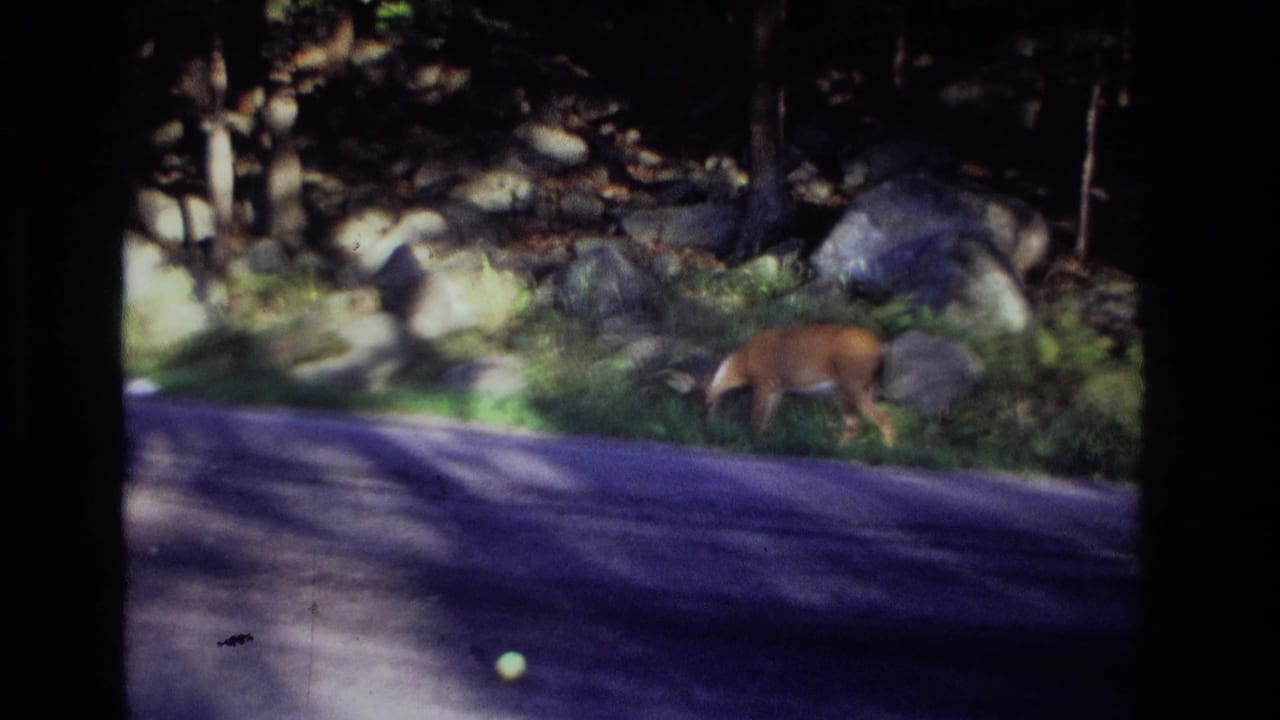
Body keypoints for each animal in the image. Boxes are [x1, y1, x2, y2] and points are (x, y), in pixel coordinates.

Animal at [667, 324, 896, 447]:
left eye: (704, 401)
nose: (703, 423)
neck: (744, 364)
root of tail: (880, 348)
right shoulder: (778, 388)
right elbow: (768, 421)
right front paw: (764, 441)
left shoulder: (763, 381)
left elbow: (756, 420)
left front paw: (749, 442)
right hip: (847, 390)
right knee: (853, 425)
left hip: (853, 383)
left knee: (884, 419)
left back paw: (889, 450)